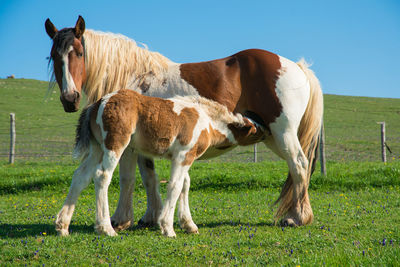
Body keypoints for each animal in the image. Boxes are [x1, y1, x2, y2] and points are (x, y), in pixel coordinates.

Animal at [54, 90, 264, 239]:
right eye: (256, 130)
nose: (267, 134)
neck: (206, 120)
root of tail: (98, 103)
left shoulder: (181, 158)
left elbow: (185, 185)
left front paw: (189, 225)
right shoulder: (183, 155)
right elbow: (175, 186)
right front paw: (168, 228)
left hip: (97, 148)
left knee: (80, 177)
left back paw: (62, 226)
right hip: (115, 145)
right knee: (102, 175)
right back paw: (106, 228)